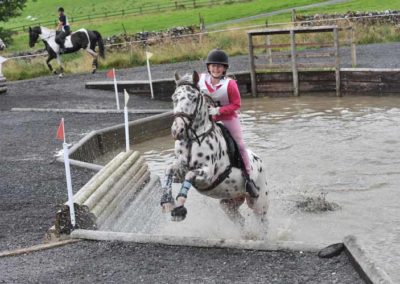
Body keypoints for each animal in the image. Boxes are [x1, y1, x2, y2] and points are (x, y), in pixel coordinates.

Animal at [160, 71, 268, 229]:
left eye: (193, 98)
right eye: (174, 98)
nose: (177, 131)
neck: (192, 139)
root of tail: (260, 162)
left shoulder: (208, 175)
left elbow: (190, 175)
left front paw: (179, 208)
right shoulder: (180, 170)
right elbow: (169, 170)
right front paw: (167, 202)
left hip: (259, 203)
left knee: (262, 222)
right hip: (229, 202)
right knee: (239, 219)